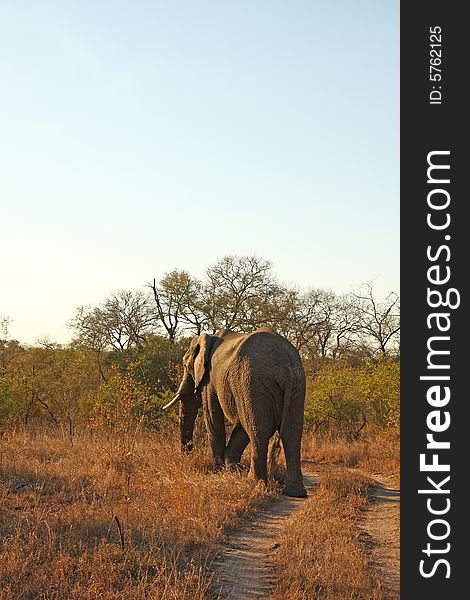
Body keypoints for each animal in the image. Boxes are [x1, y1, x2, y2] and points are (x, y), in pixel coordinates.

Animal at [164, 328, 308, 496]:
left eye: (186, 366)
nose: (187, 455)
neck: (209, 338)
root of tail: (285, 369)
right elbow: (241, 424)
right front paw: (232, 468)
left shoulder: (209, 380)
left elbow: (213, 418)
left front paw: (218, 470)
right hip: (296, 385)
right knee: (291, 432)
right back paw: (295, 493)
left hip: (253, 383)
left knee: (258, 430)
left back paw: (254, 482)